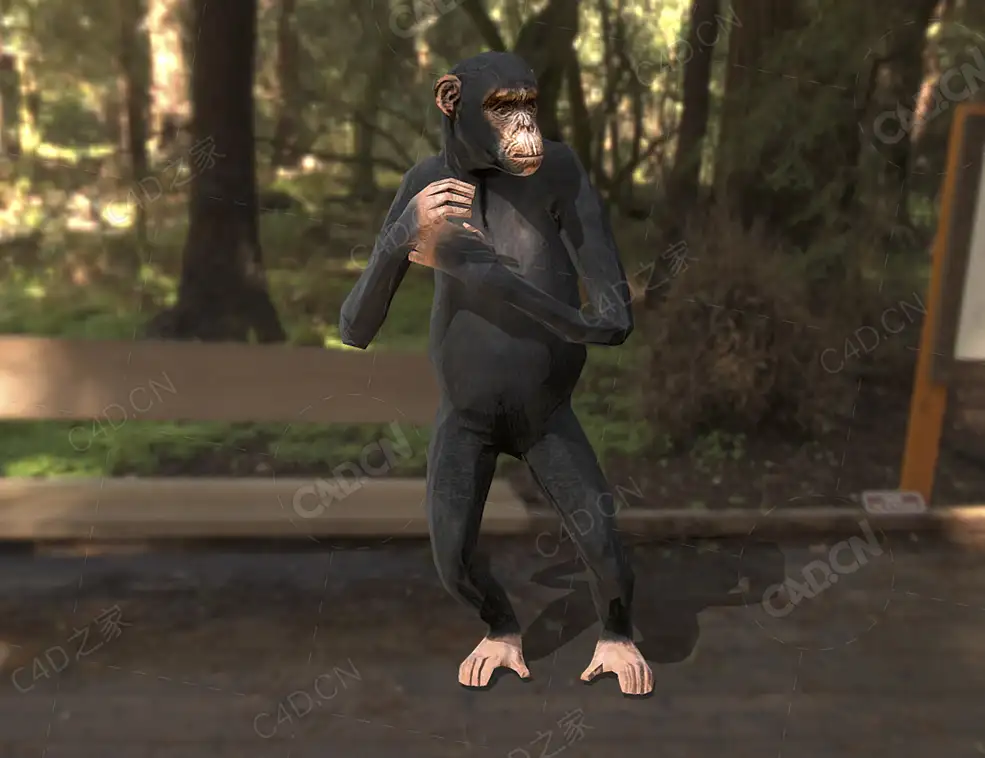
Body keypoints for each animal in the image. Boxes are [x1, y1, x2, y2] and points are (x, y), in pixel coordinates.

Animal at [339, 51, 652, 696]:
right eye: (502, 106)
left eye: (528, 102)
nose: (527, 123)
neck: (483, 170)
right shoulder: (412, 179)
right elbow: (354, 324)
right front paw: (420, 228)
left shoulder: (572, 171)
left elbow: (611, 310)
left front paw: (453, 251)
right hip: (462, 436)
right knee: (454, 552)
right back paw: (501, 638)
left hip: (552, 432)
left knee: (602, 543)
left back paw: (619, 646)